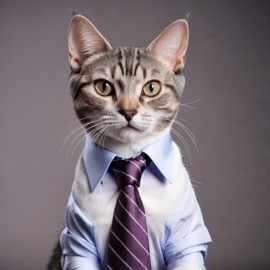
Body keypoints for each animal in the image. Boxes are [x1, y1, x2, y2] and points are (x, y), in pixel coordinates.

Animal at [48, 14, 211, 270]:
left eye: (151, 88)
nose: (128, 110)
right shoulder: (77, 243)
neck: (128, 158)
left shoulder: (188, 240)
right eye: (103, 87)